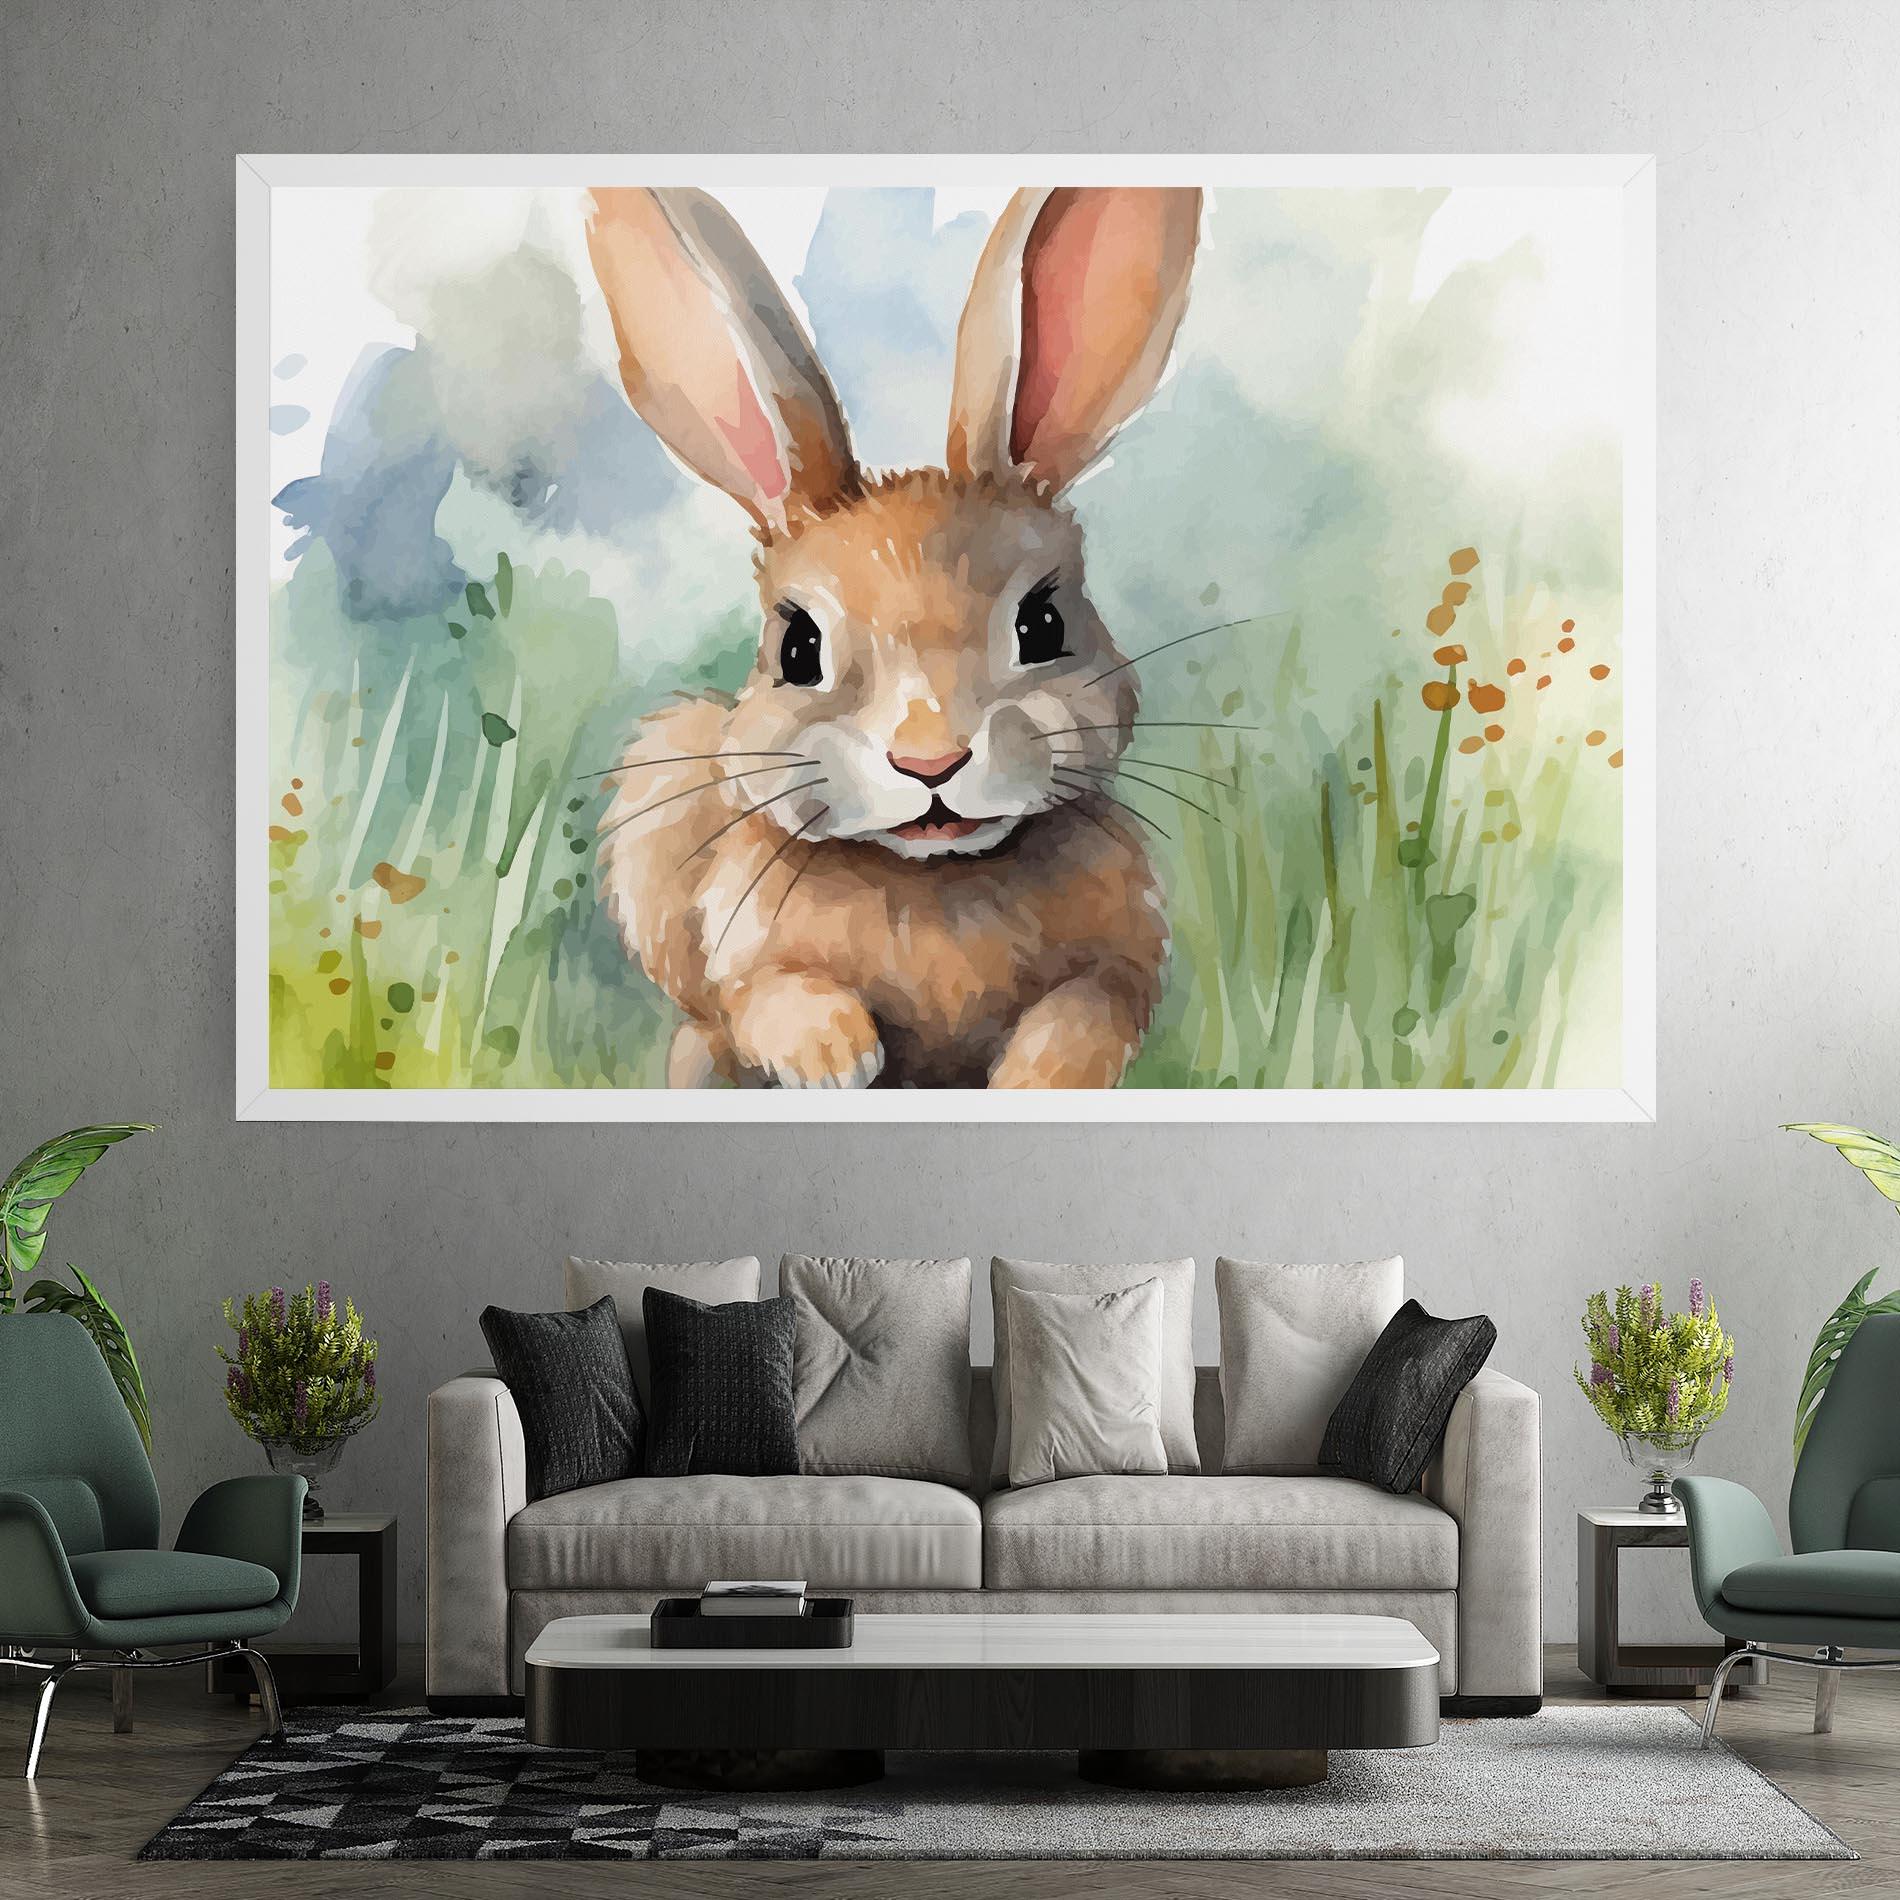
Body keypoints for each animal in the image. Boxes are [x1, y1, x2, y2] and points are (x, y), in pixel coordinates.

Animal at [584, 184, 1201, 1088]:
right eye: (798, 649)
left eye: (1043, 624)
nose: (930, 761)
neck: (932, 875)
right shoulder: (745, 962)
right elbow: (768, 995)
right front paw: (835, 1054)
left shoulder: (1120, 967)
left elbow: (1088, 1014)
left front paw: (1033, 1079)